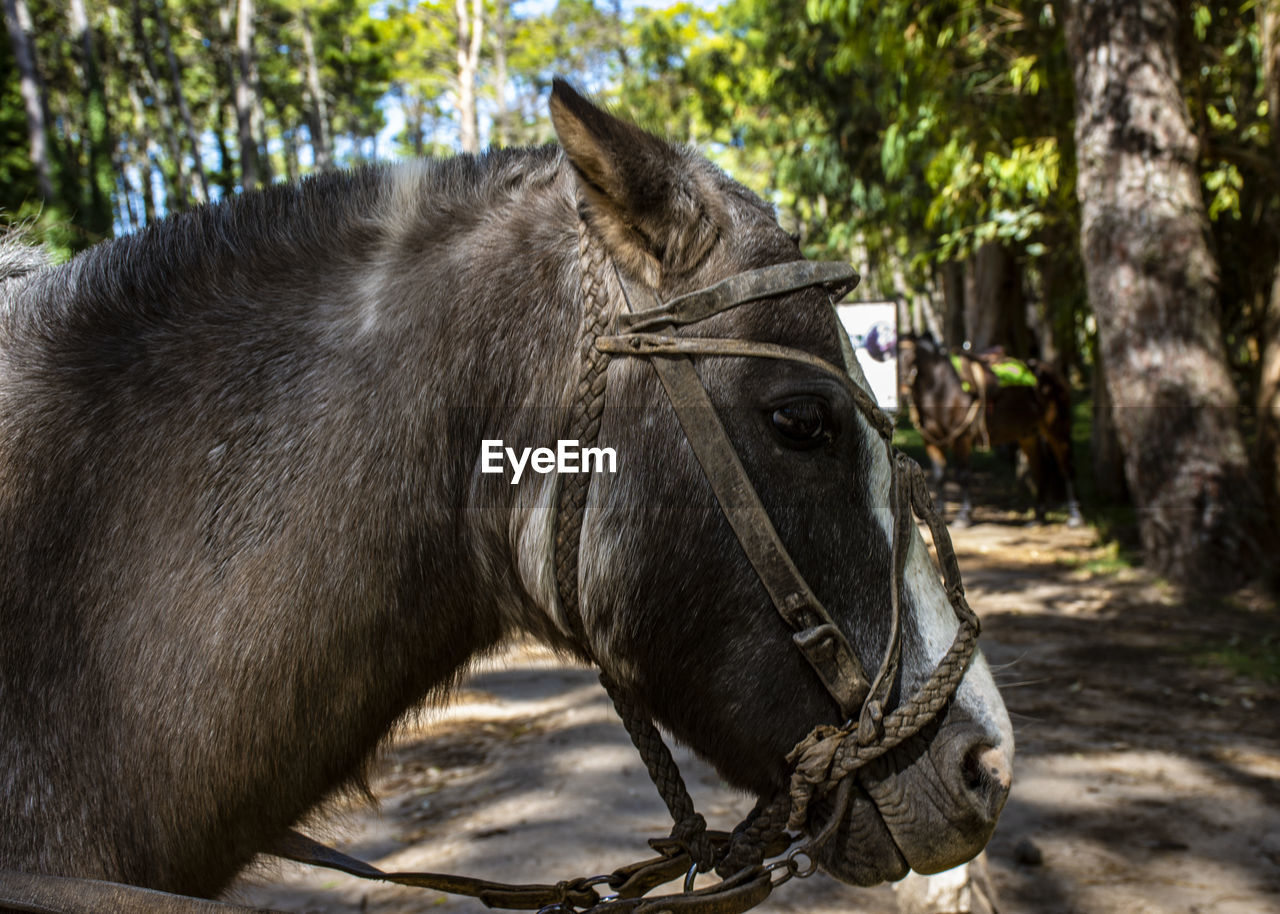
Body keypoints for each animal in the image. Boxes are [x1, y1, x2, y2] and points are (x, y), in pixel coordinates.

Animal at [901, 330, 1080, 522]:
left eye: (911, 356)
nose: (902, 390)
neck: (940, 389)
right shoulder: (931, 440)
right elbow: (939, 475)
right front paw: (937, 513)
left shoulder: (961, 437)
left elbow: (963, 474)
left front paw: (964, 515)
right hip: (1028, 434)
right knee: (1040, 468)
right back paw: (1038, 515)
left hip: (1057, 427)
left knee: (1066, 467)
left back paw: (1075, 516)